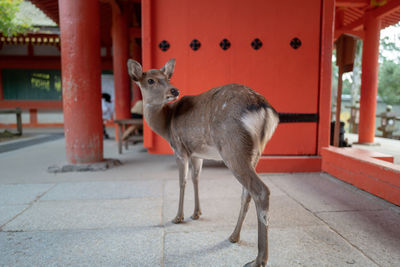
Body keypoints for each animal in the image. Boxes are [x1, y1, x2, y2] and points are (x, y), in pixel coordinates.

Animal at [127, 59, 278, 267]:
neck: (166, 125)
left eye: (167, 77)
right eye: (150, 80)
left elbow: (182, 181)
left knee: (261, 190)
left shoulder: (179, 149)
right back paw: (233, 236)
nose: (174, 90)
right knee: (246, 193)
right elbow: (196, 178)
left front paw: (178, 217)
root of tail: (265, 109)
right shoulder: (197, 154)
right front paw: (196, 213)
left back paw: (258, 260)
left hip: (233, 147)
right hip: (255, 153)